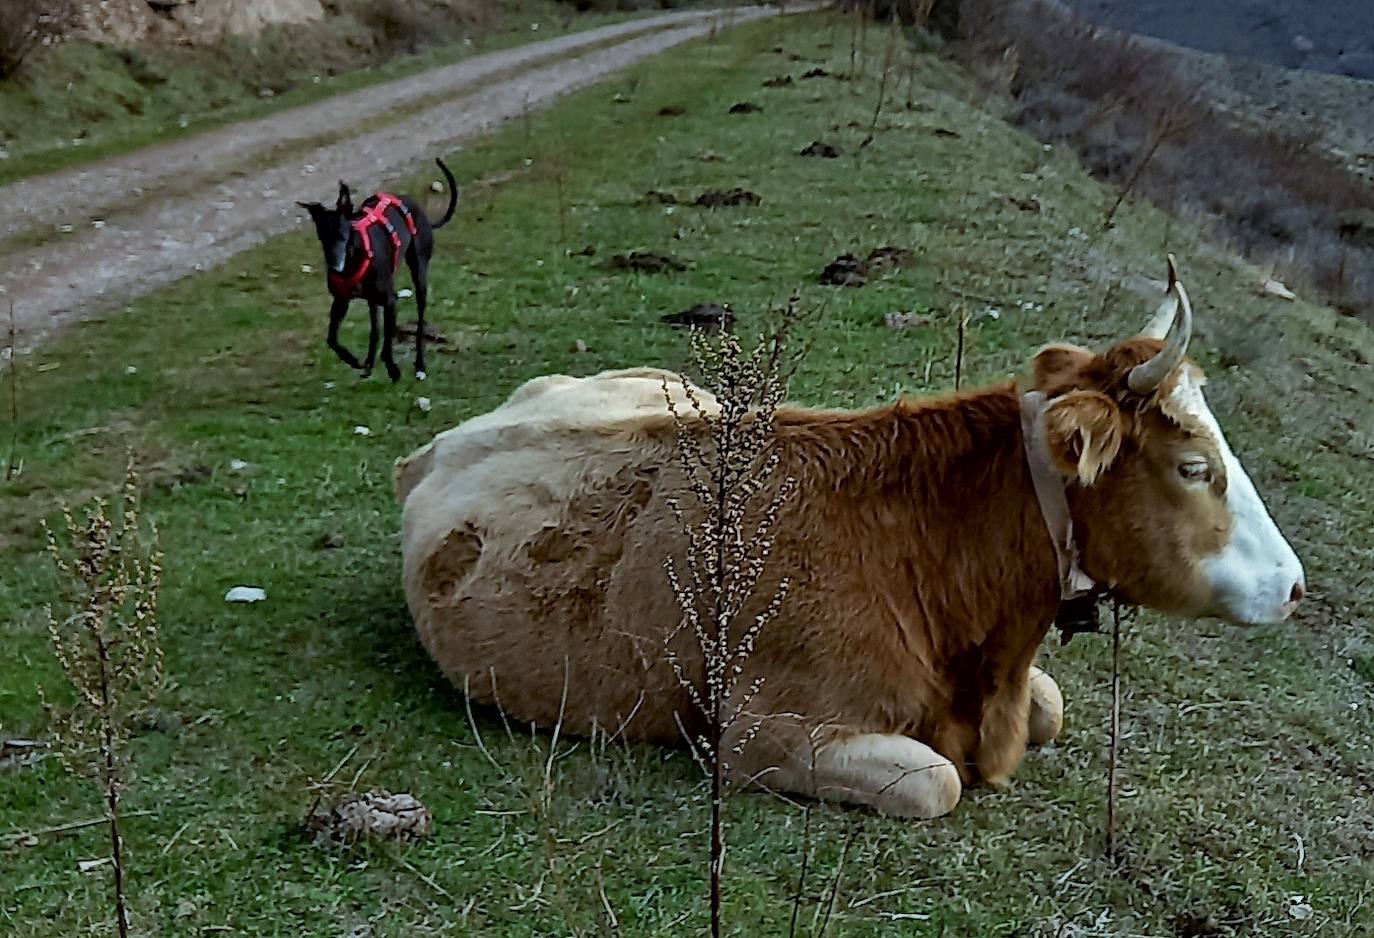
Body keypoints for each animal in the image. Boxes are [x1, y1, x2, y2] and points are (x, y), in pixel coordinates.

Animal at [298, 157, 458, 381]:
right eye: (322, 238)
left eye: (343, 234)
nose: (335, 267)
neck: (355, 259)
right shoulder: (342, 301)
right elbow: (332, 339)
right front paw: (352, 359)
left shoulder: (390, 301)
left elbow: (387, 344)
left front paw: (392, 368)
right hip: (373, 299)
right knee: (374, 327)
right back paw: (368, 363)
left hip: (419, 274)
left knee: (419, 323)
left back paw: (419, 365)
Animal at [392, 260, 1302, 818]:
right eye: (1193, 466)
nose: (1294, 586)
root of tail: (443, 442)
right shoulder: (754, 732)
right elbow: (936, 780)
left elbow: (1052, 704)